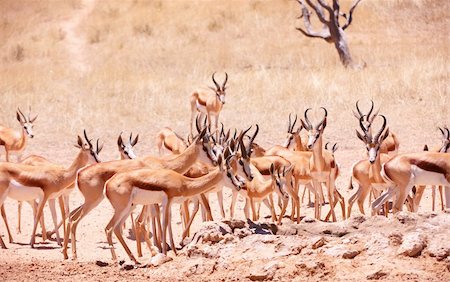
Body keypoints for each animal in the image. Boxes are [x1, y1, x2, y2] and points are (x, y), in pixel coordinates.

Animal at [104, 151, 244, 264]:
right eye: (229, 174)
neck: (183, 183)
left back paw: (134, 259)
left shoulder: (170, 204)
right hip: (122, 209)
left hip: (130, 208)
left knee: (116, 228)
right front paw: (165, 253)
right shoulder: (167, 200)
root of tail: (108, 183)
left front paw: (174, 251)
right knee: (109, 229)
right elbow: (165, 223)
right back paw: (119, 259)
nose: (238, 186)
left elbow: (169, 223)